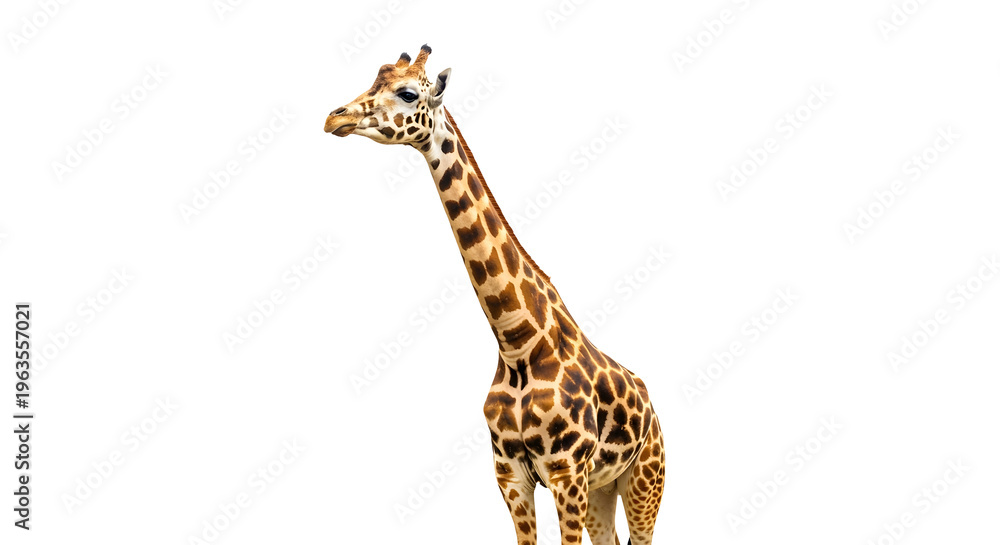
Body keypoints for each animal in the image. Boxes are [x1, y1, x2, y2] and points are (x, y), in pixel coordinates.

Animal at [324, 45, 665, 545]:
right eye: (373, 80)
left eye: (407, 93)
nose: (335, 117)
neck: (517, 344)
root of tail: (652, 406)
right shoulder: (511, 475)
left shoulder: (566, 474)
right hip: (605, 488)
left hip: (644, 480)